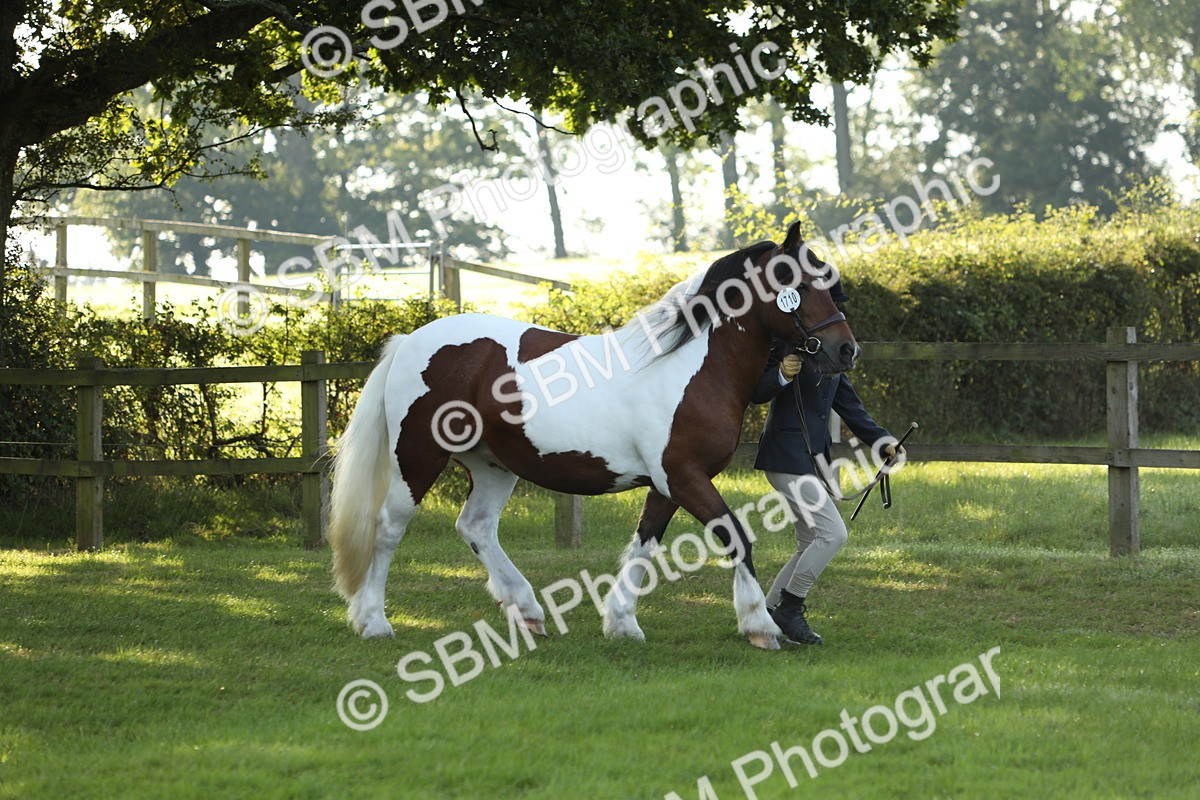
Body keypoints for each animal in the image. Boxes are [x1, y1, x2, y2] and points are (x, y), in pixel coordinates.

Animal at [328, 220, 860, 650]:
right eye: (799, 283)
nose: (846, 350)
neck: (690, 368)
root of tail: (409, 342)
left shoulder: (668, 485)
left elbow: (645, 544)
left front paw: (622, 622)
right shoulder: (685, 477)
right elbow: (737, 537)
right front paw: (760, 627)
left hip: (493, 464)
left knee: (476, 527)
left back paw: (528, 611)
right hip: (418, 456)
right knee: (387, 528)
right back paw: (374, 622)